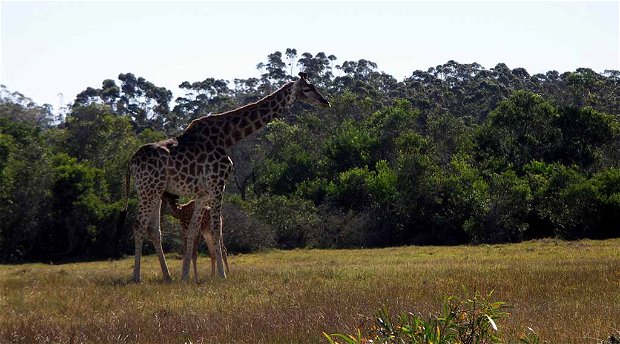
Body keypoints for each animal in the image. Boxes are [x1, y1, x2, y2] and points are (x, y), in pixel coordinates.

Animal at [120, 71, 330, 280]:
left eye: (314, 86)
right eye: (306, 89)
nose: (325, 102)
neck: (228, 136)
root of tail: (131, 162)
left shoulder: (202, 193)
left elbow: (194, 230)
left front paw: (185, 276)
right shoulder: (217, 184)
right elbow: (215, 229)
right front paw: (222, 275)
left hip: (155, 191)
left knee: (154, 230)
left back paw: (168, 277)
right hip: (149, 189)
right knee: (138, 225)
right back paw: (136, 277)